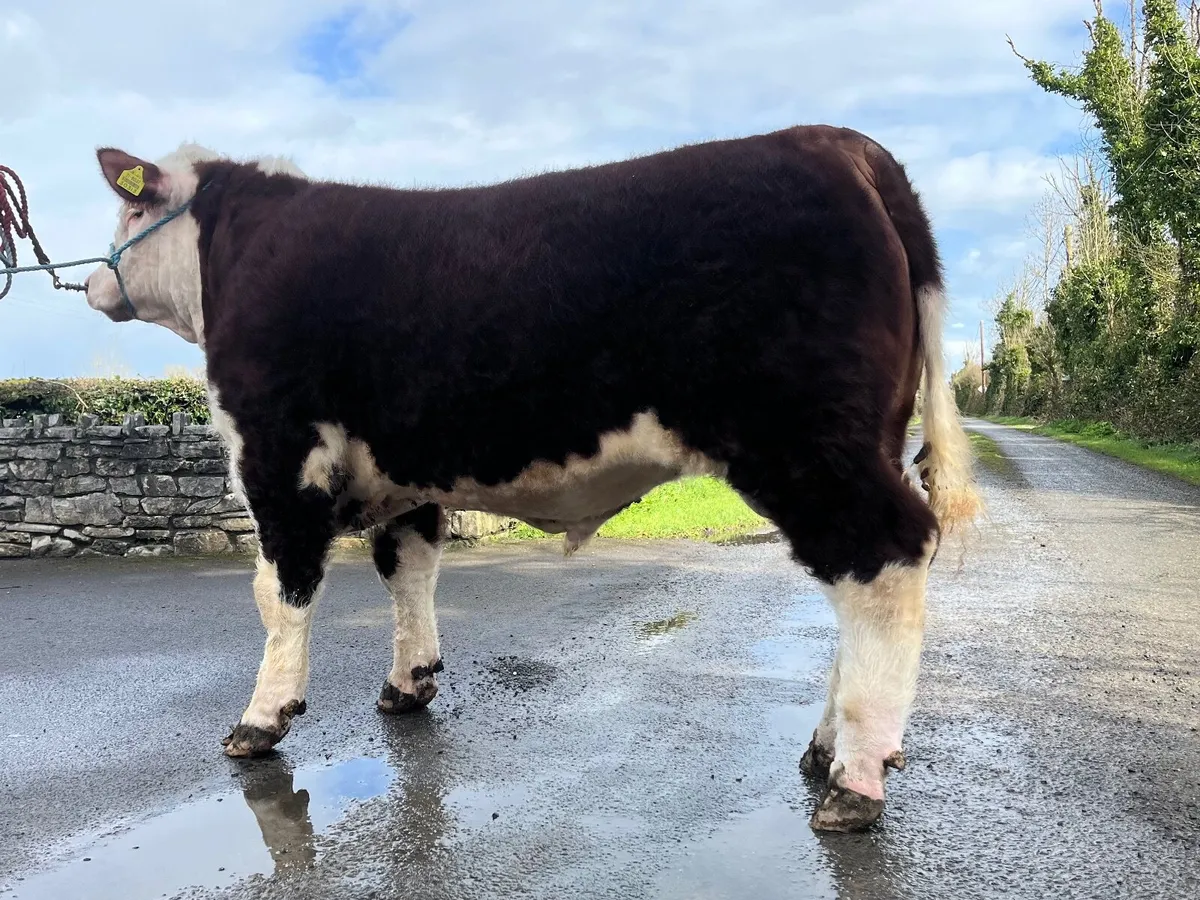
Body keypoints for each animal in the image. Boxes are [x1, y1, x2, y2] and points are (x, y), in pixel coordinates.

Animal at [82, 125, 980, 833]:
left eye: (131, 210)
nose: (89, 282)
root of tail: (844, 145)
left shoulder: (277, 451)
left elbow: (282, 593)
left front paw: (261, 719)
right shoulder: (409, 474)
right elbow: (408, 569)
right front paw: (409, 684)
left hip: (803, 438)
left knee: (884, 558)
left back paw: (855, 780)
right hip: (861, 436)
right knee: (859, 582)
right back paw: (826, 748)